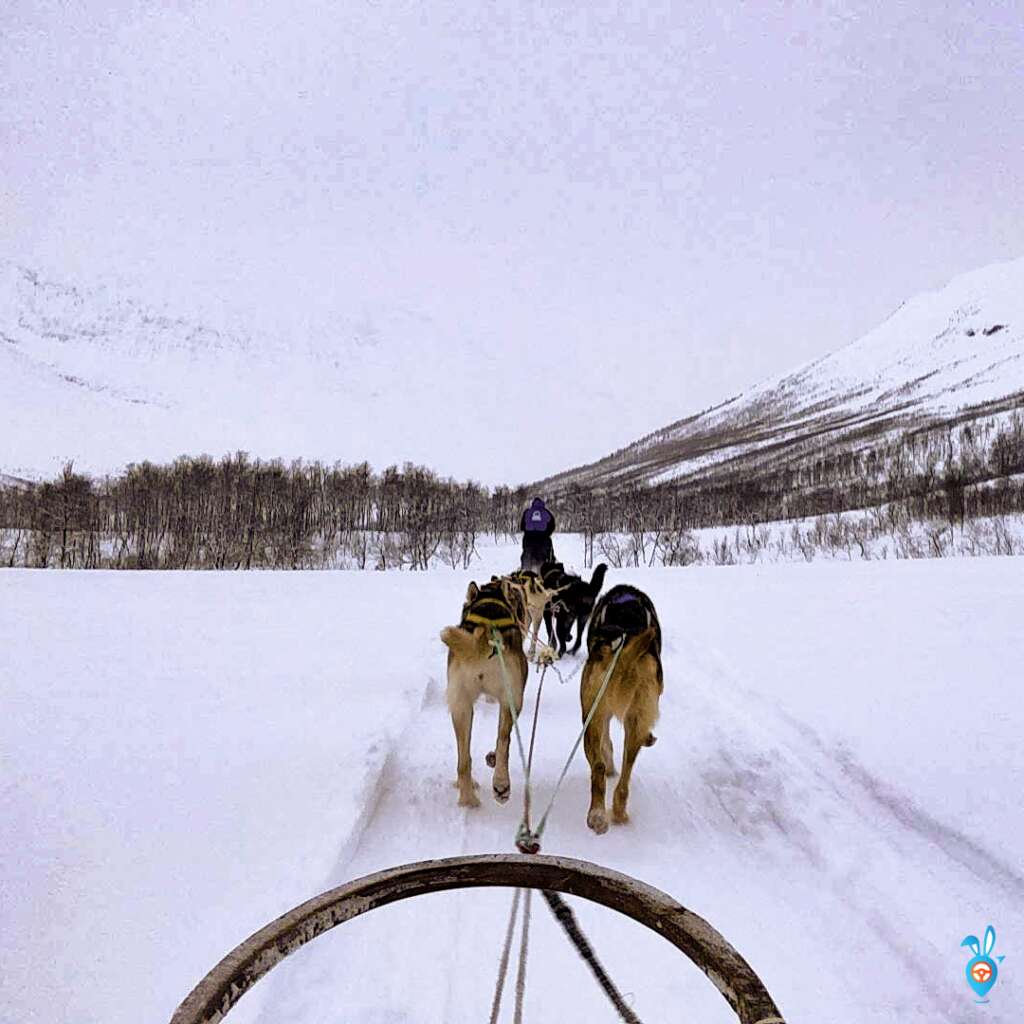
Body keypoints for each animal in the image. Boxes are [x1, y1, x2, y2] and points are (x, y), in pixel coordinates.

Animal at [581, 585, 659, 831]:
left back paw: (600, 814)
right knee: (621, 772)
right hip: (622, 718)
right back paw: (615, 812)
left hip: (594, 719)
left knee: (601, 768)